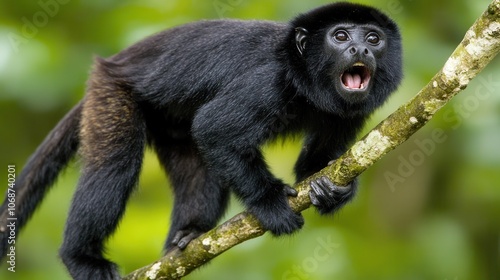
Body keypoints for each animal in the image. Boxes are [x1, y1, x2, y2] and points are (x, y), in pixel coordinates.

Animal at [0, 1, 402, 278]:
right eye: (340, 36)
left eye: (373, 38)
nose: (360, 50)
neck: (305, 78)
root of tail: (113, 62)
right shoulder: (269, 80)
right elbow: (215, 129)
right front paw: (270, 203)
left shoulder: (352, 113)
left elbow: (314, 163)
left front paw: (331, 190)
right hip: (109, 93)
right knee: (115, 166)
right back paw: (81, 258)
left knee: (197, 166)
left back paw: (187, 235)